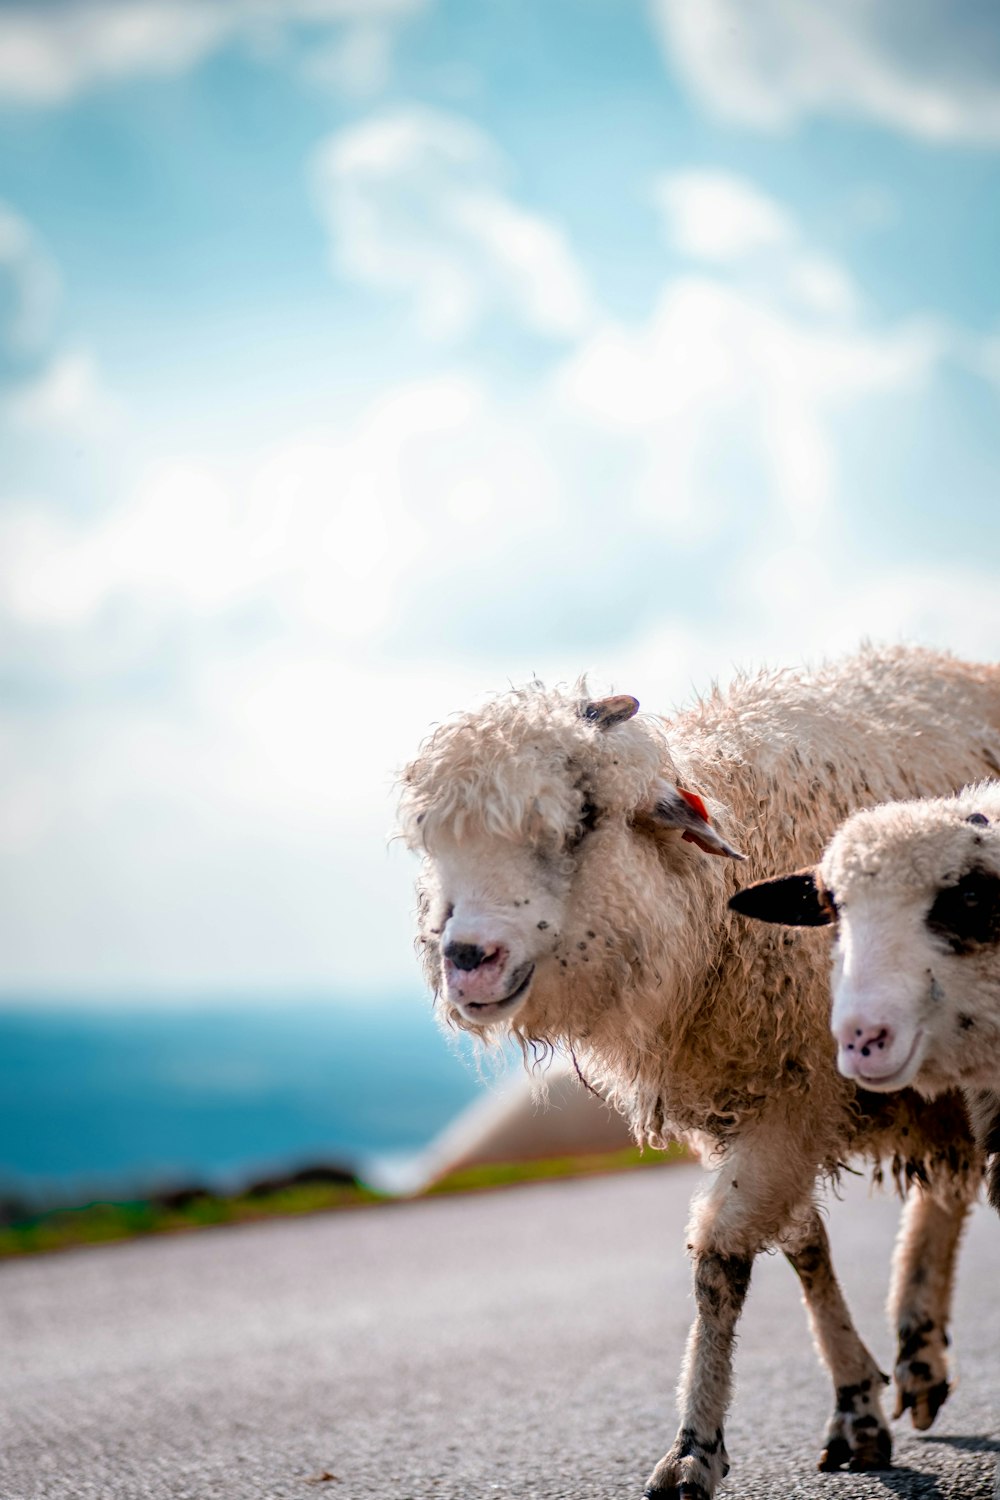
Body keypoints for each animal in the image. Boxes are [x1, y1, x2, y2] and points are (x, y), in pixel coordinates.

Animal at [401, 645, 1000, 1500]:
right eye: (432, 842)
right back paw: (918, 1352)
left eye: (582, 820)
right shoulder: (744, 1100)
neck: (710, 908)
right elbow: (803, 1244)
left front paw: (694, 1448)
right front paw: (855, 1403)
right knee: (944, 1187)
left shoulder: (792, 1092)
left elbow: (720, 1258)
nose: (467, 961)